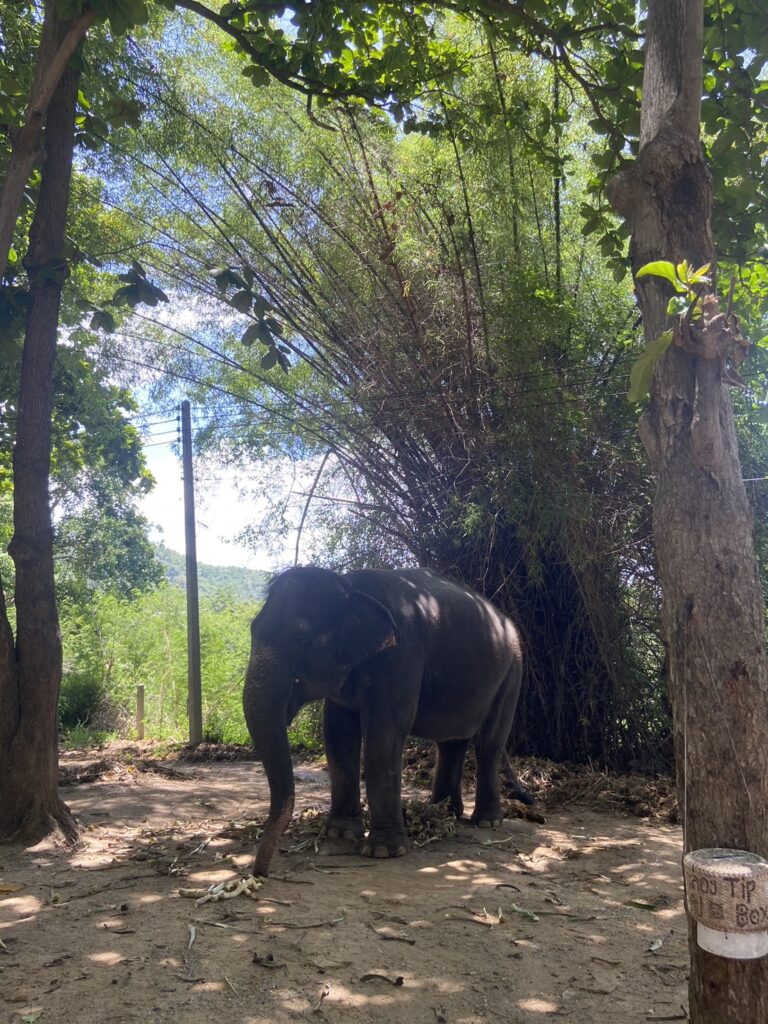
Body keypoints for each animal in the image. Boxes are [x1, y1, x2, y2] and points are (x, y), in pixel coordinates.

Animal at [243, 565, 524, 876]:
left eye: (300, 637)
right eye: (252, 629)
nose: (260, 873)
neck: (348, 586)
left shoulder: (403, 655)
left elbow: (384, 733)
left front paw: (383, 851)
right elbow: (337, 734)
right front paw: (340, 833)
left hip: (511, 672)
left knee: (489, 743)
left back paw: (487, 821)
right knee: (452, 741)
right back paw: (443, 811)